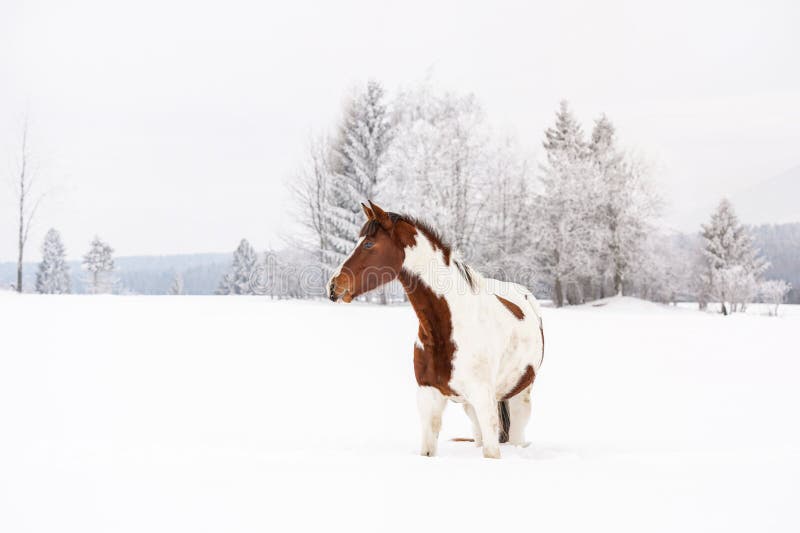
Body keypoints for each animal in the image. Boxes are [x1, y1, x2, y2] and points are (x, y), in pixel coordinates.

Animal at [326, 200, 544, 458]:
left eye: (368, 243)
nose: (333, 285)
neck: (449, 328)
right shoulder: (428, 396)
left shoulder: (484, 399)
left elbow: (491, 452)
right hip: (470, 406)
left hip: (520, 396)